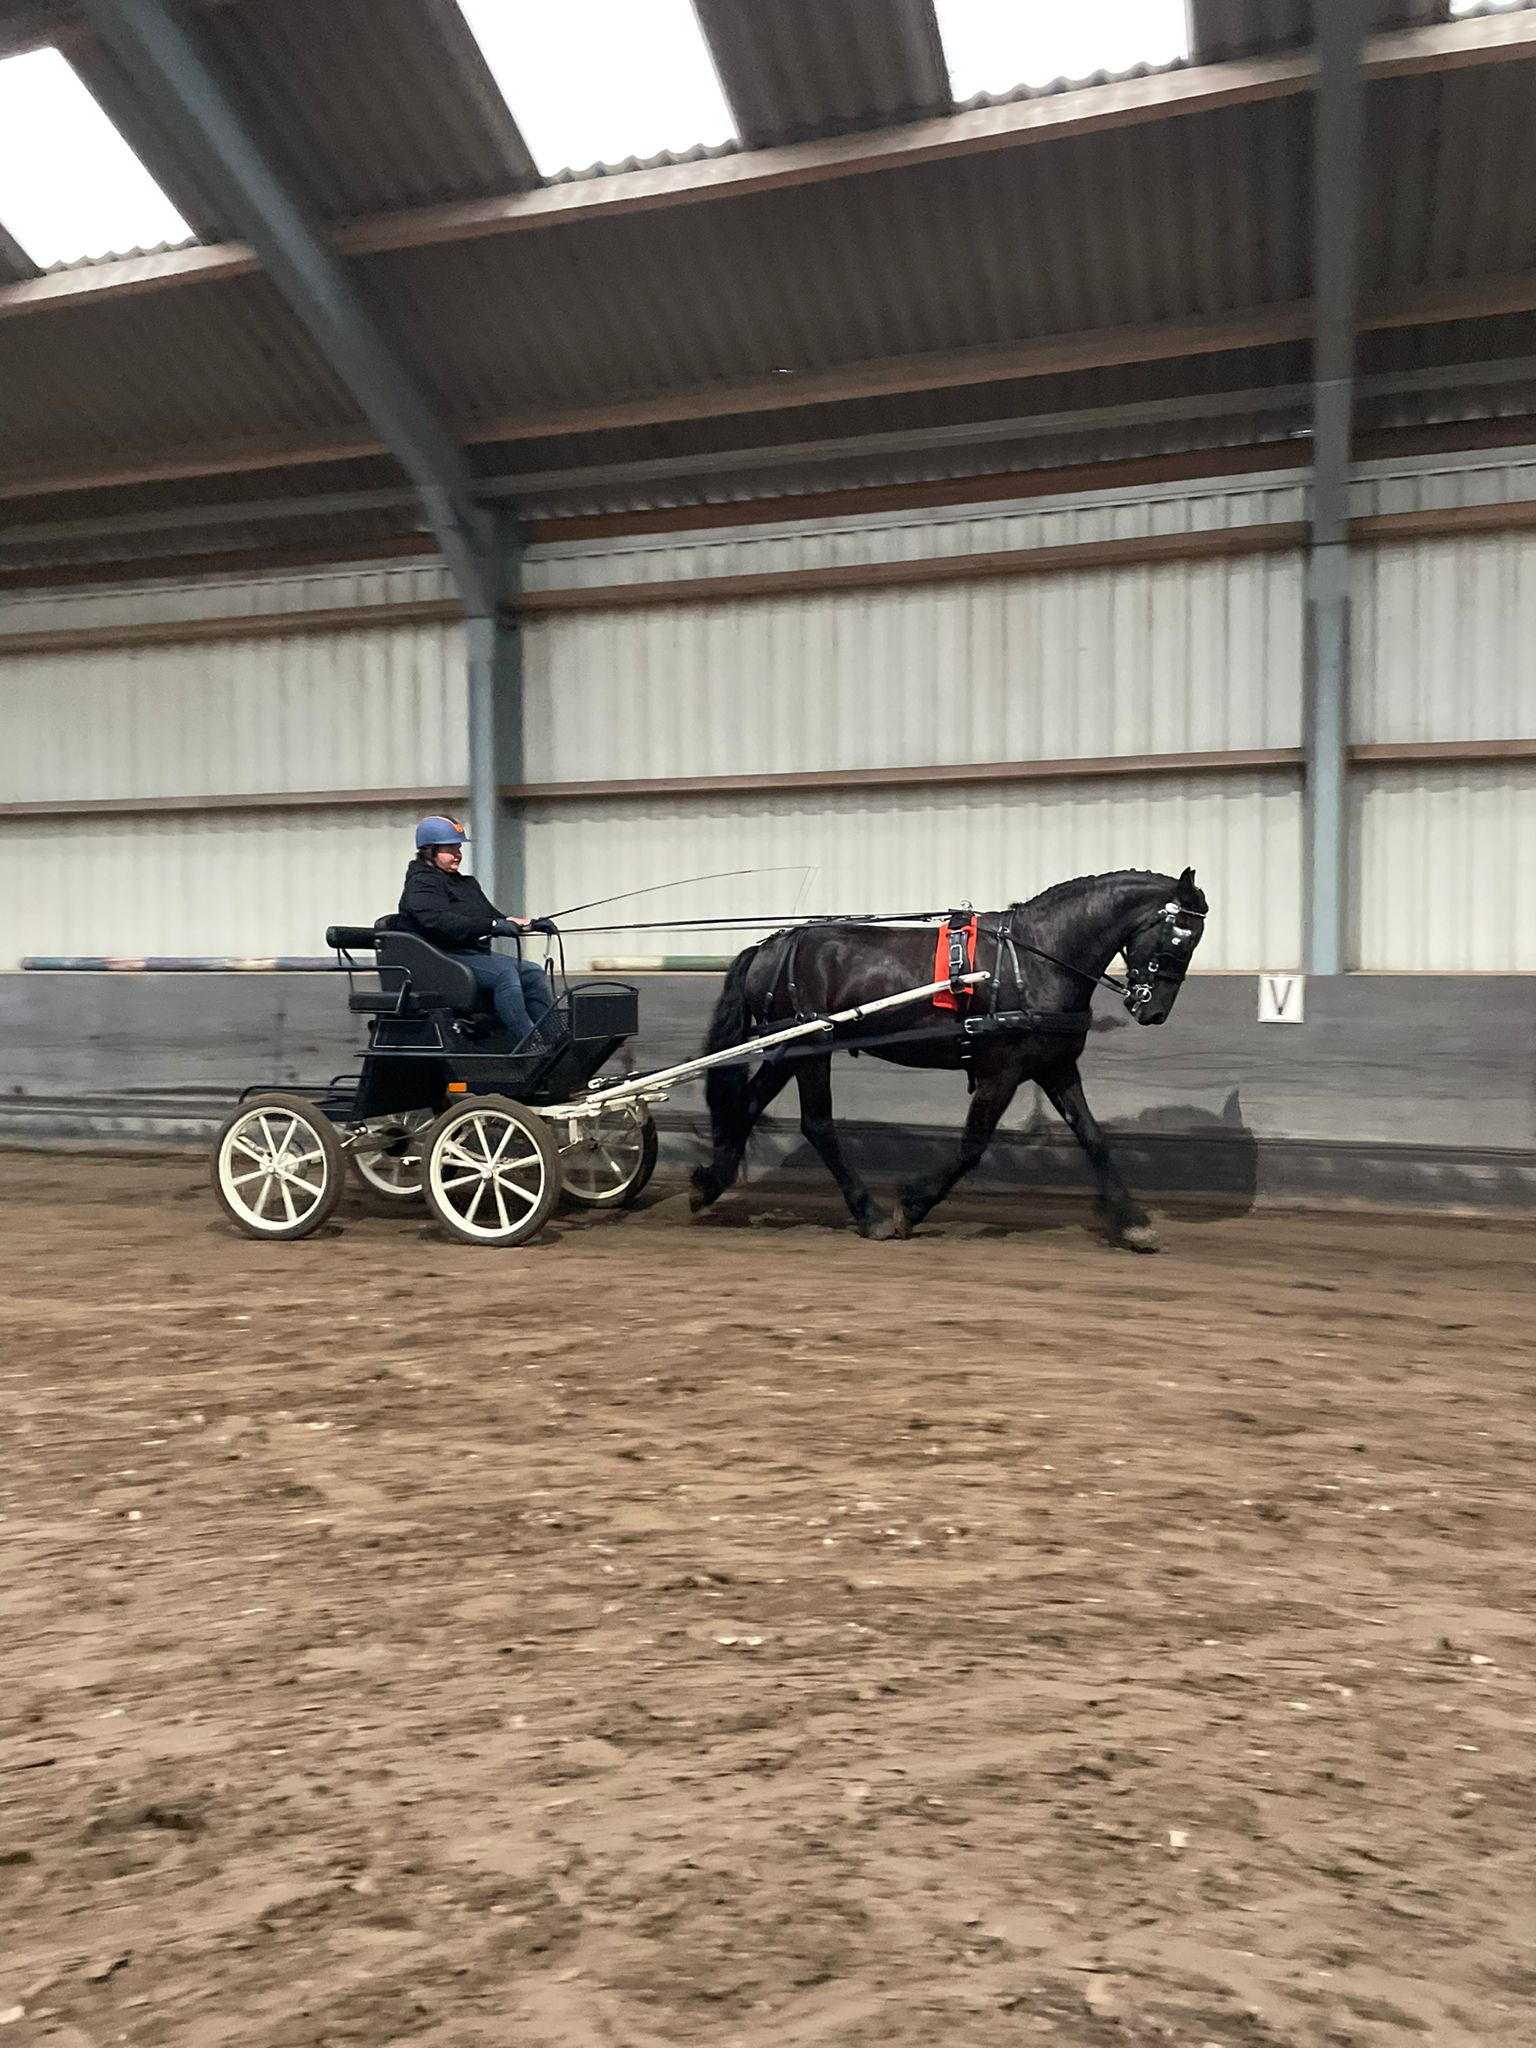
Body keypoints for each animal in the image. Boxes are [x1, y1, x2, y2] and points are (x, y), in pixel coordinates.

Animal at [692, 868, 1212, 1245]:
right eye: (1178, 938)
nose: (1154, 1010)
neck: (1036, 959)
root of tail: (770, 946)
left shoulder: (1055, 1066)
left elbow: (1093, 1137)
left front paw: (1132, 1221)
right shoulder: (1001, 1072)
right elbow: (971, 1146)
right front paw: (912, 1205)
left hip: (788, 1048)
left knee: (747, 1104)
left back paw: (710, 1183)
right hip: (811, 1049)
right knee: (817, 1124)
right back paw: (870, 1214)